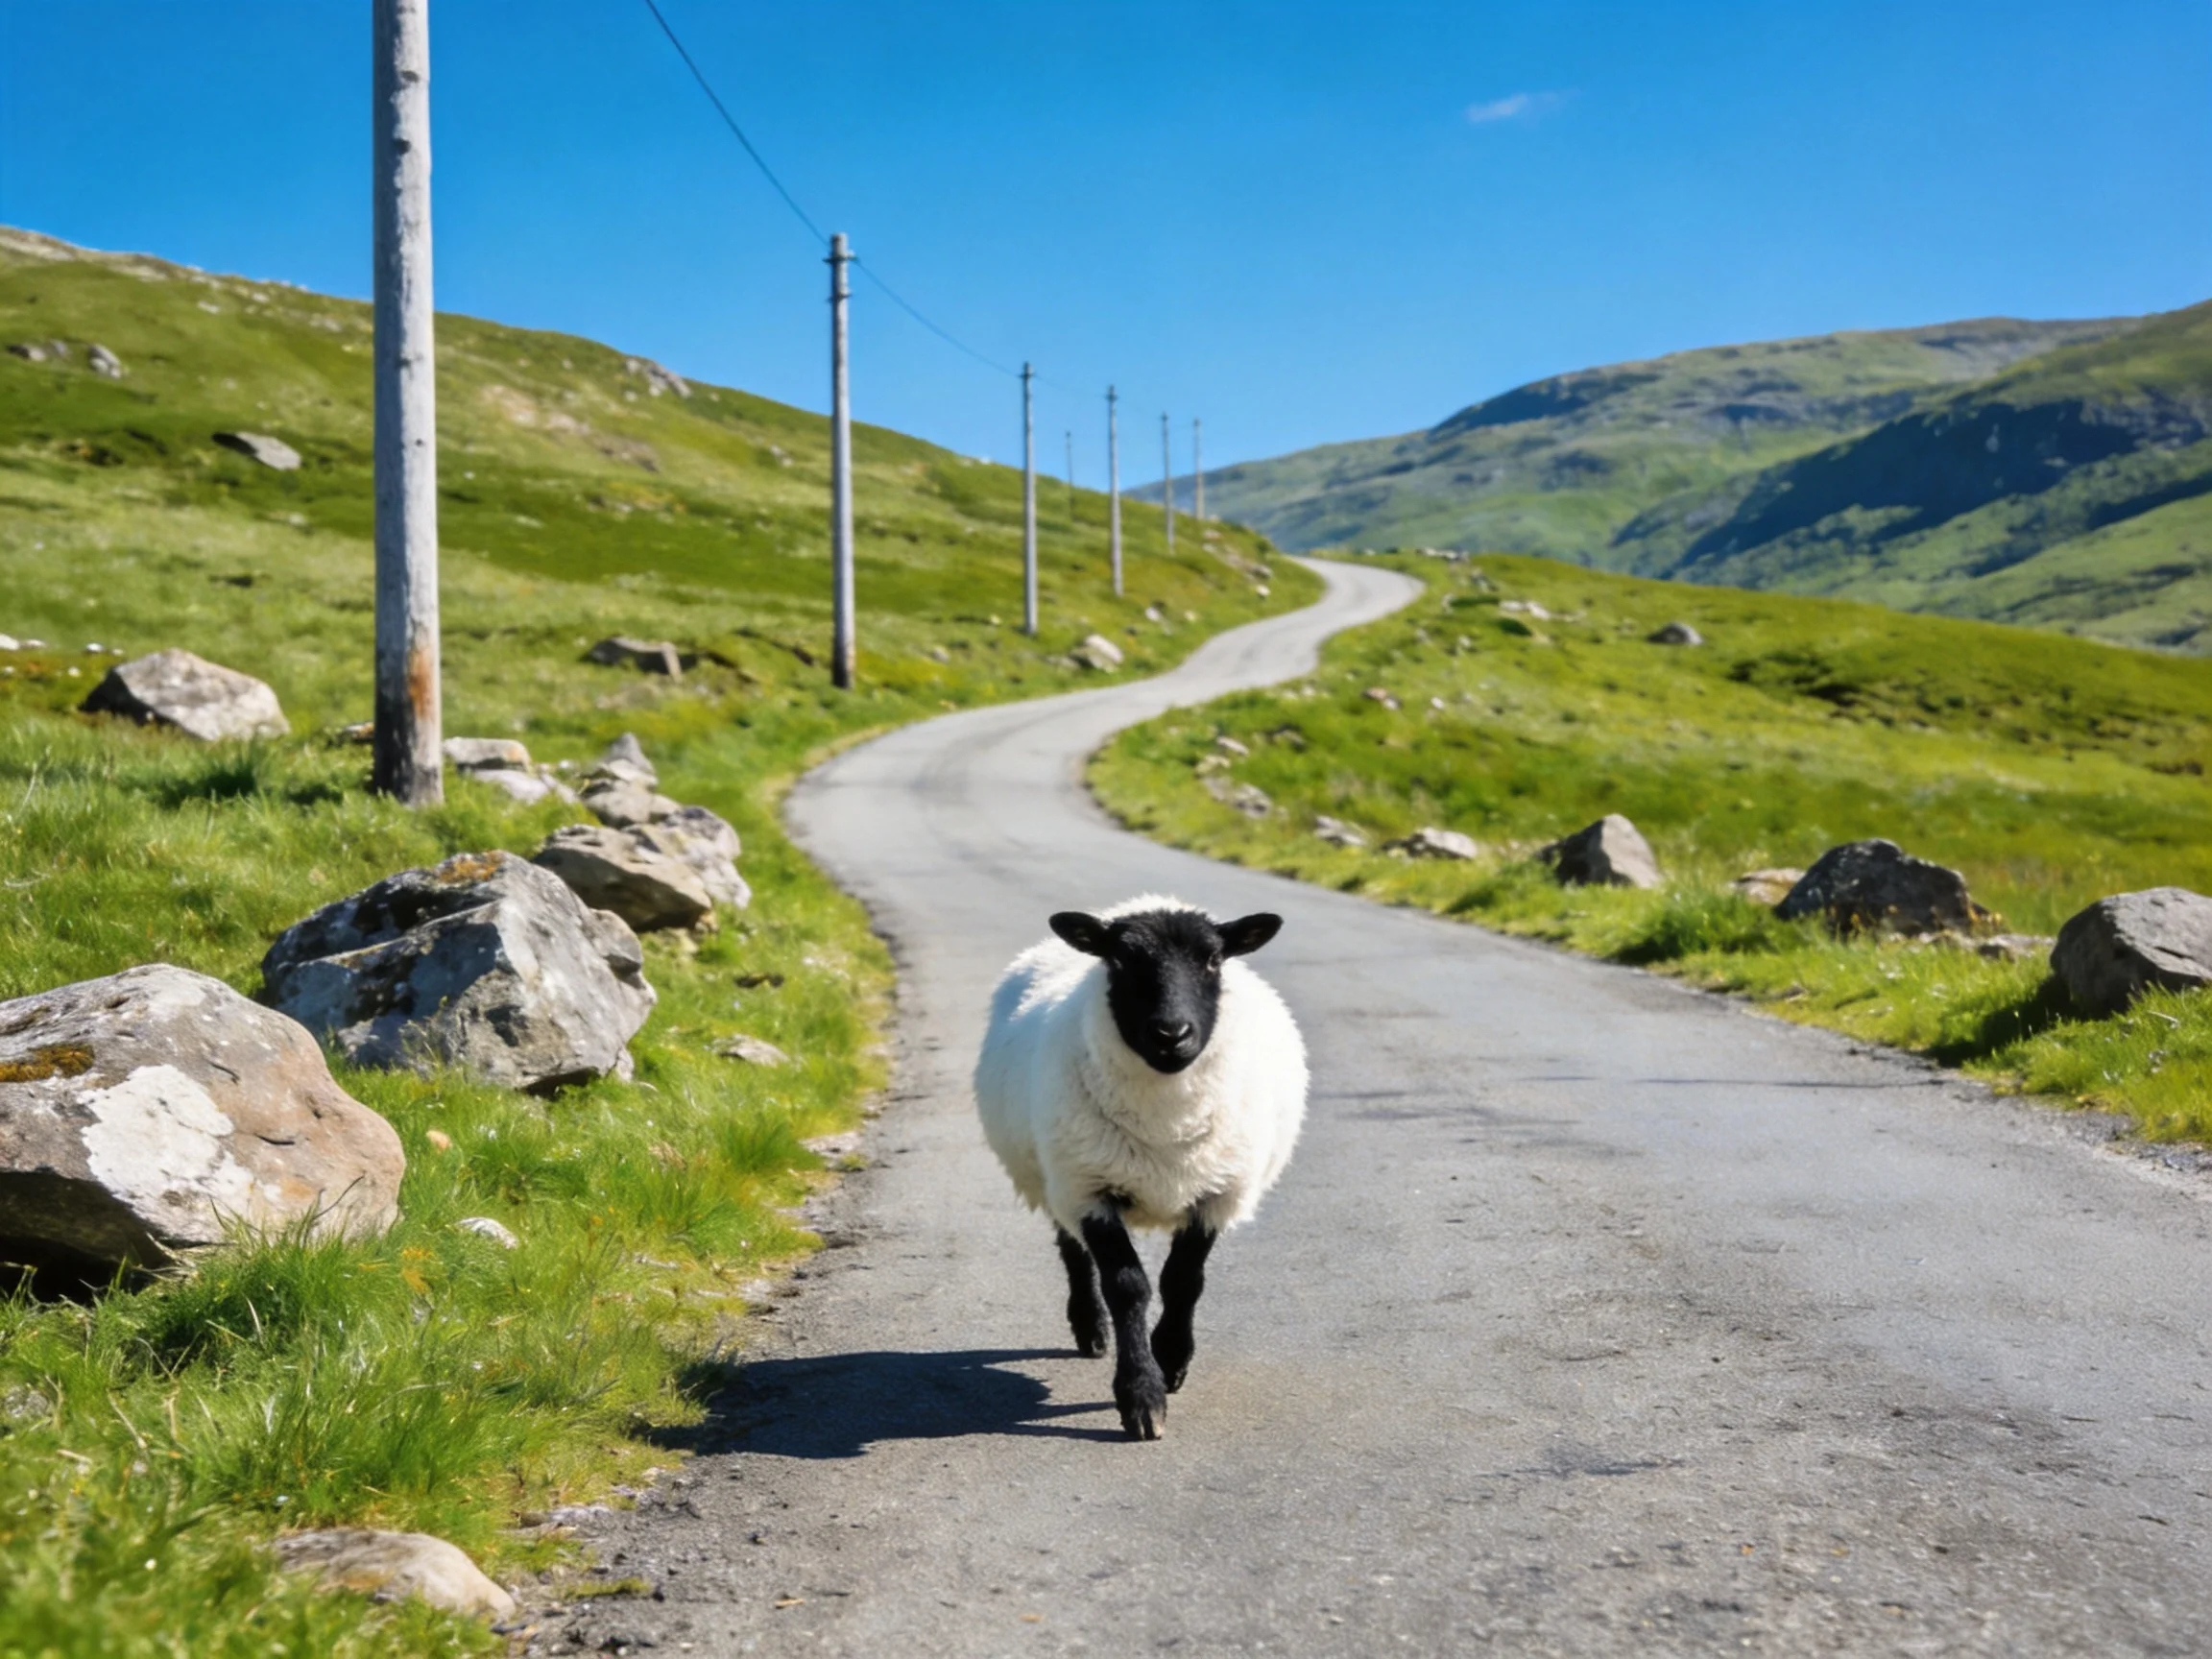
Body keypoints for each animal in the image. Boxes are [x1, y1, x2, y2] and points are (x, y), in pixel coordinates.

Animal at [973, 894, 1308, 1440]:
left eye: (1213, 959)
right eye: (1121, 960)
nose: (1172, 1034)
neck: (1166, 1124)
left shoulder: (1216, 1193)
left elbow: (1183, 1280)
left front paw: (1171, 1359)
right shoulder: (1090, 1189)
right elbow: (1127, 1287)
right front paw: (1141, 1397)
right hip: (1056, 1172)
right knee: (1073, 1252)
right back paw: (1090, 1329)